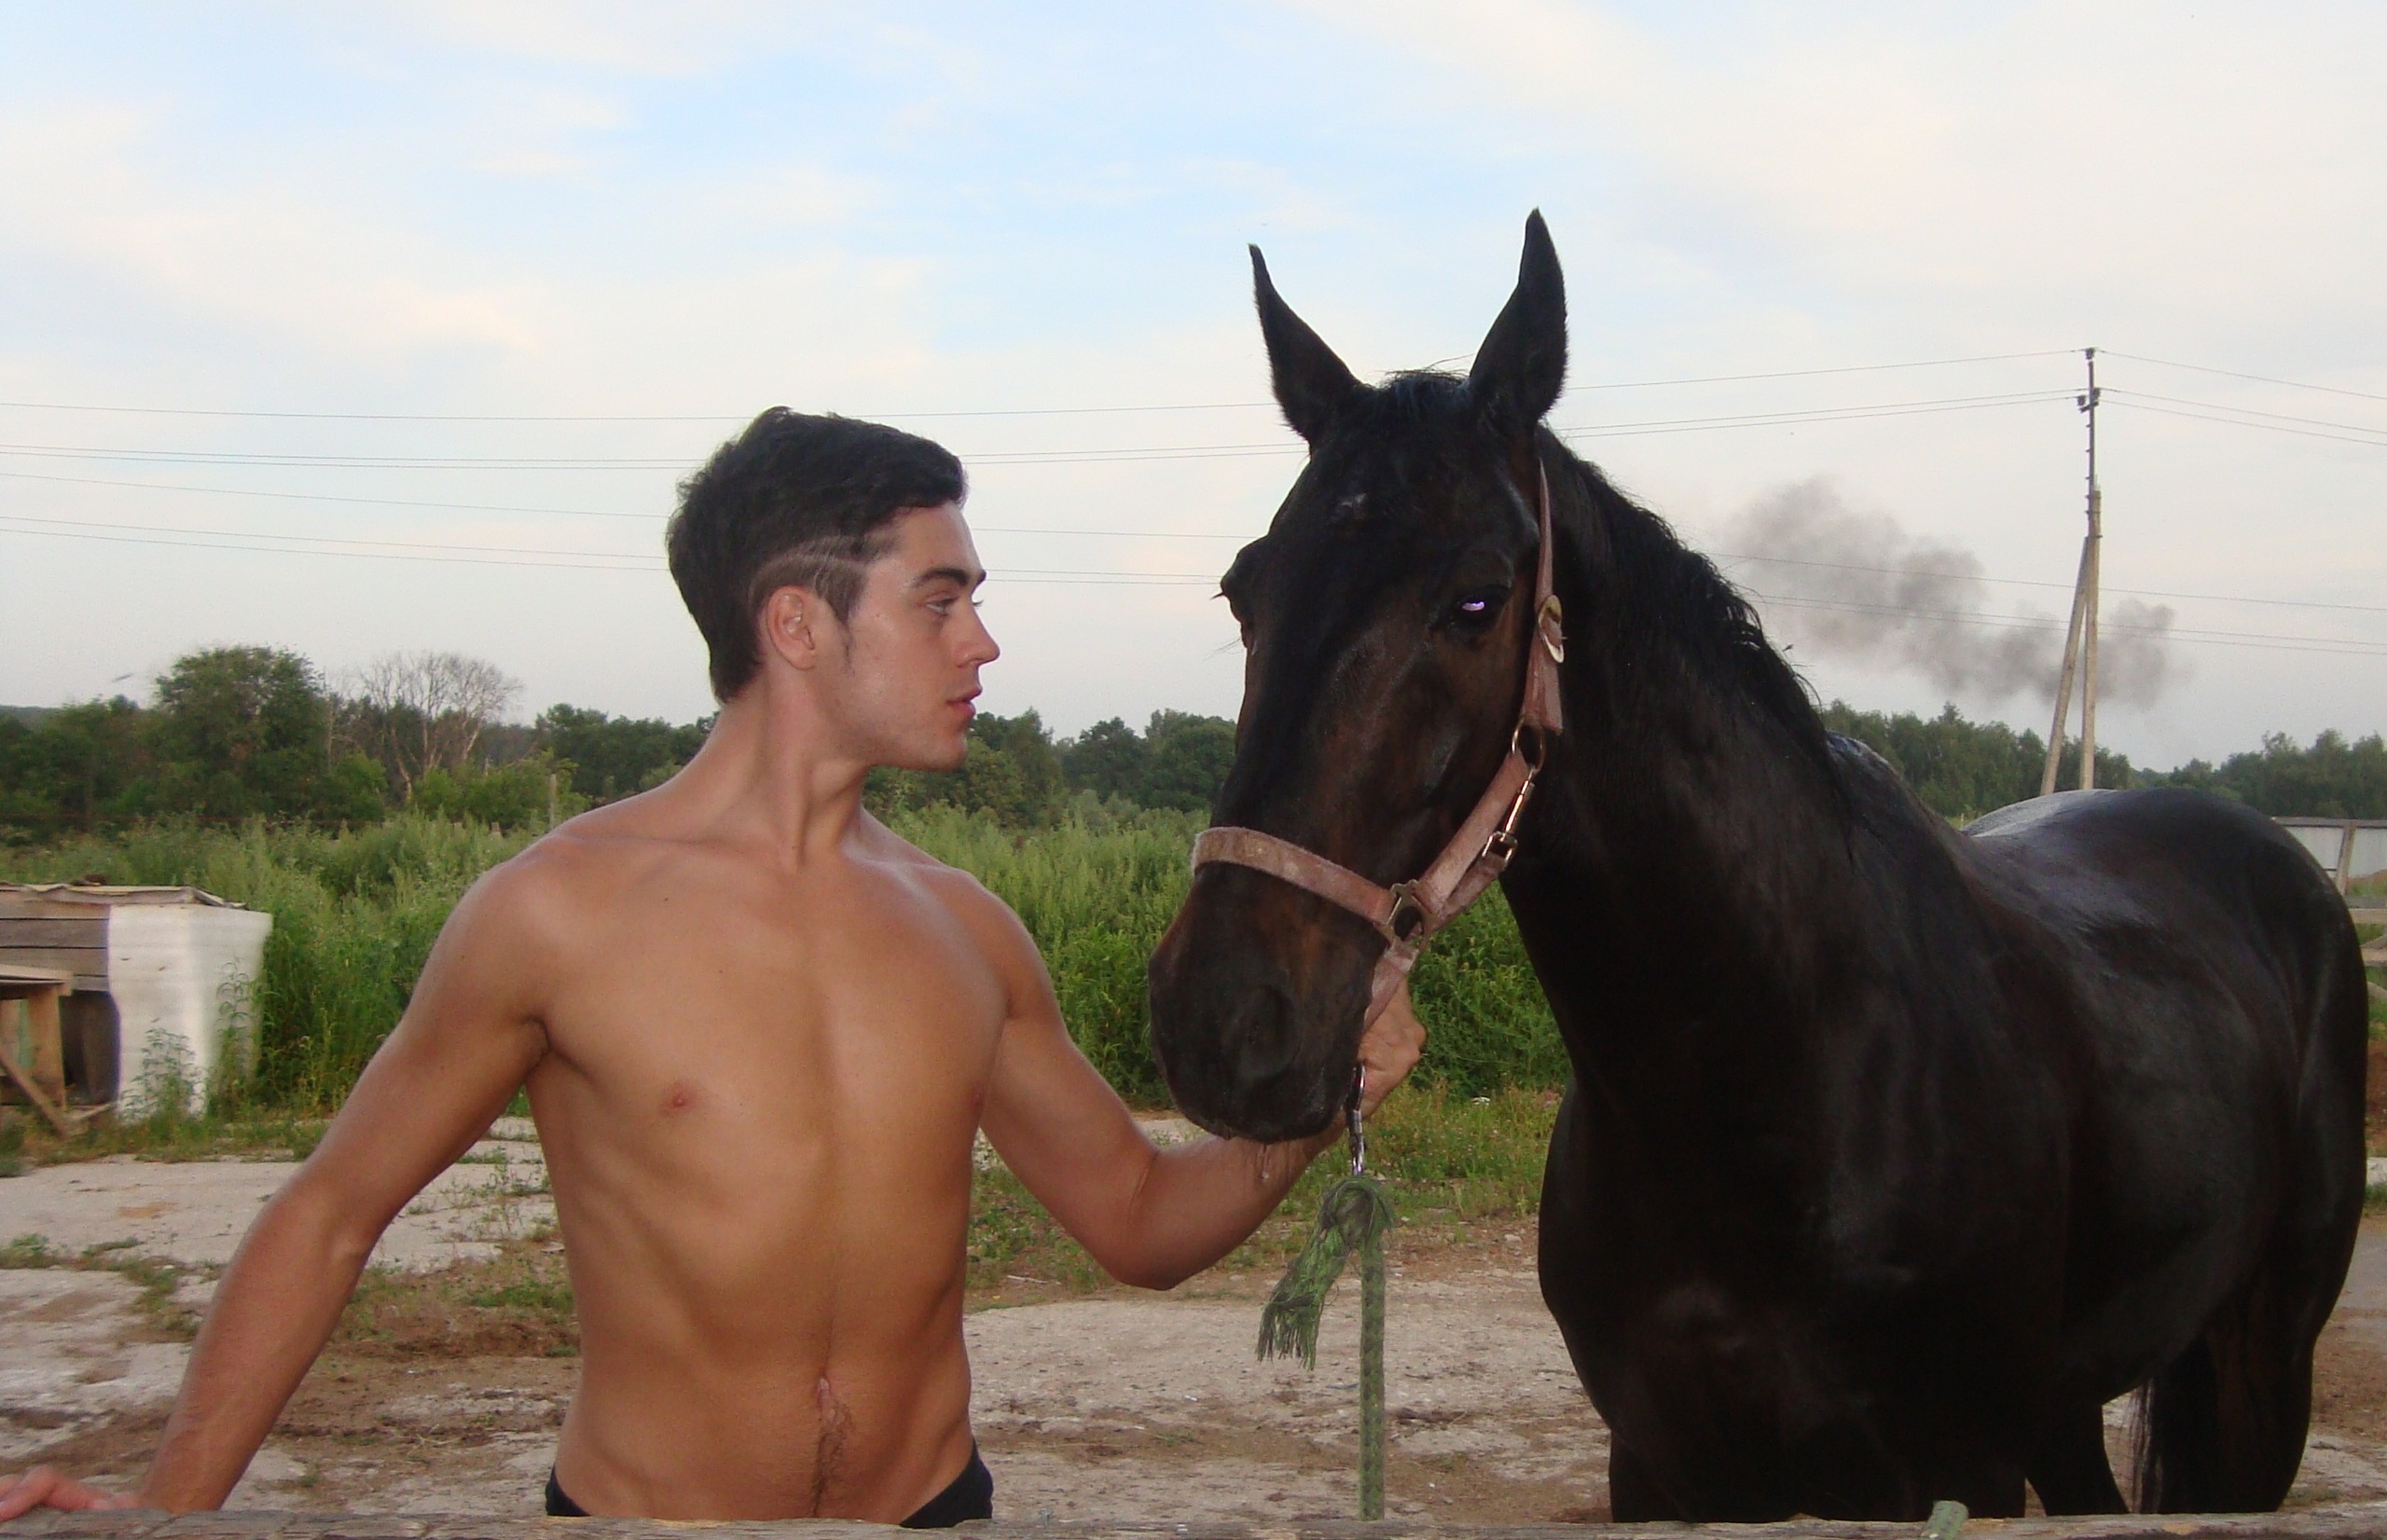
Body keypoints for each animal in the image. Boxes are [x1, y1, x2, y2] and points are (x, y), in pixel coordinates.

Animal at [1144, 212, 2368, 1521]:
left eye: (1476, 599)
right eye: (1244, 590)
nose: (1223, 1021)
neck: (1770, 1077)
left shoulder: (1952, 1469)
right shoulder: (1661, 1462)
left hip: (2257, 1363)